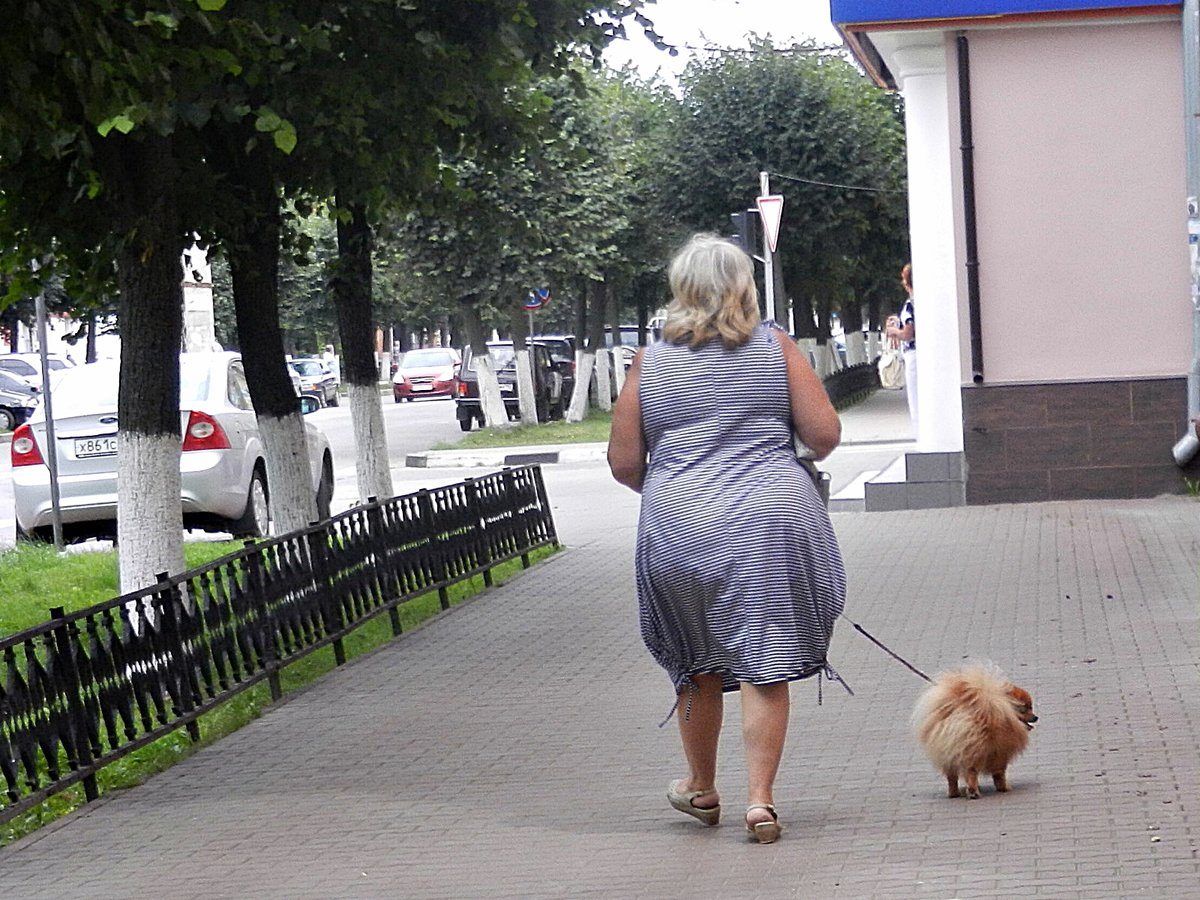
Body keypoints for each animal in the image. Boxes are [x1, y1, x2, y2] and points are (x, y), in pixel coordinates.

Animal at [912, 667, 1036, 801]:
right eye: (1026, 708)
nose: (1036, 717)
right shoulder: (1001, 754)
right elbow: (999, 774)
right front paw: (1004, 787)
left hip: (948, 756)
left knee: (952, 778)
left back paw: (954, 793)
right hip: (974, 753)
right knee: (971, 772)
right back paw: (973, 792)